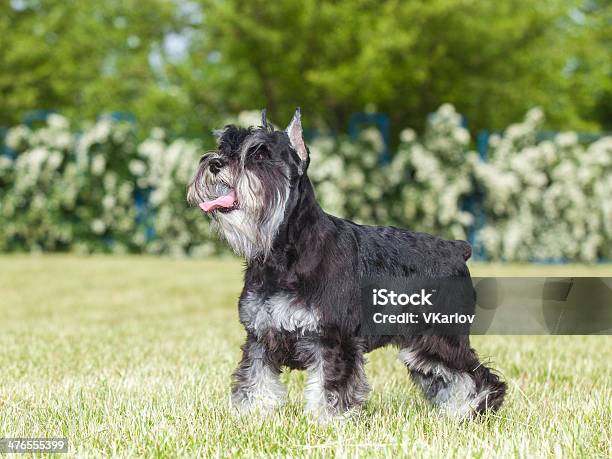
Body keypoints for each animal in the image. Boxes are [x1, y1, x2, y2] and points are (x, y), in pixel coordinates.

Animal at [186, 109, 506, 422]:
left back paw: (473, 412)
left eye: (260, 154)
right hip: (422, 349)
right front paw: (250, 417)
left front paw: (327, 423)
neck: (283, 255)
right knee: (448, 378)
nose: (215, 163)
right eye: (224, 145)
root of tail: (457, 249)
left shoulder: (333, 340)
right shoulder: (259, 338)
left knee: (480, 377)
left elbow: (329, 388)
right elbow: (255, 381)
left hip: (442, 338)